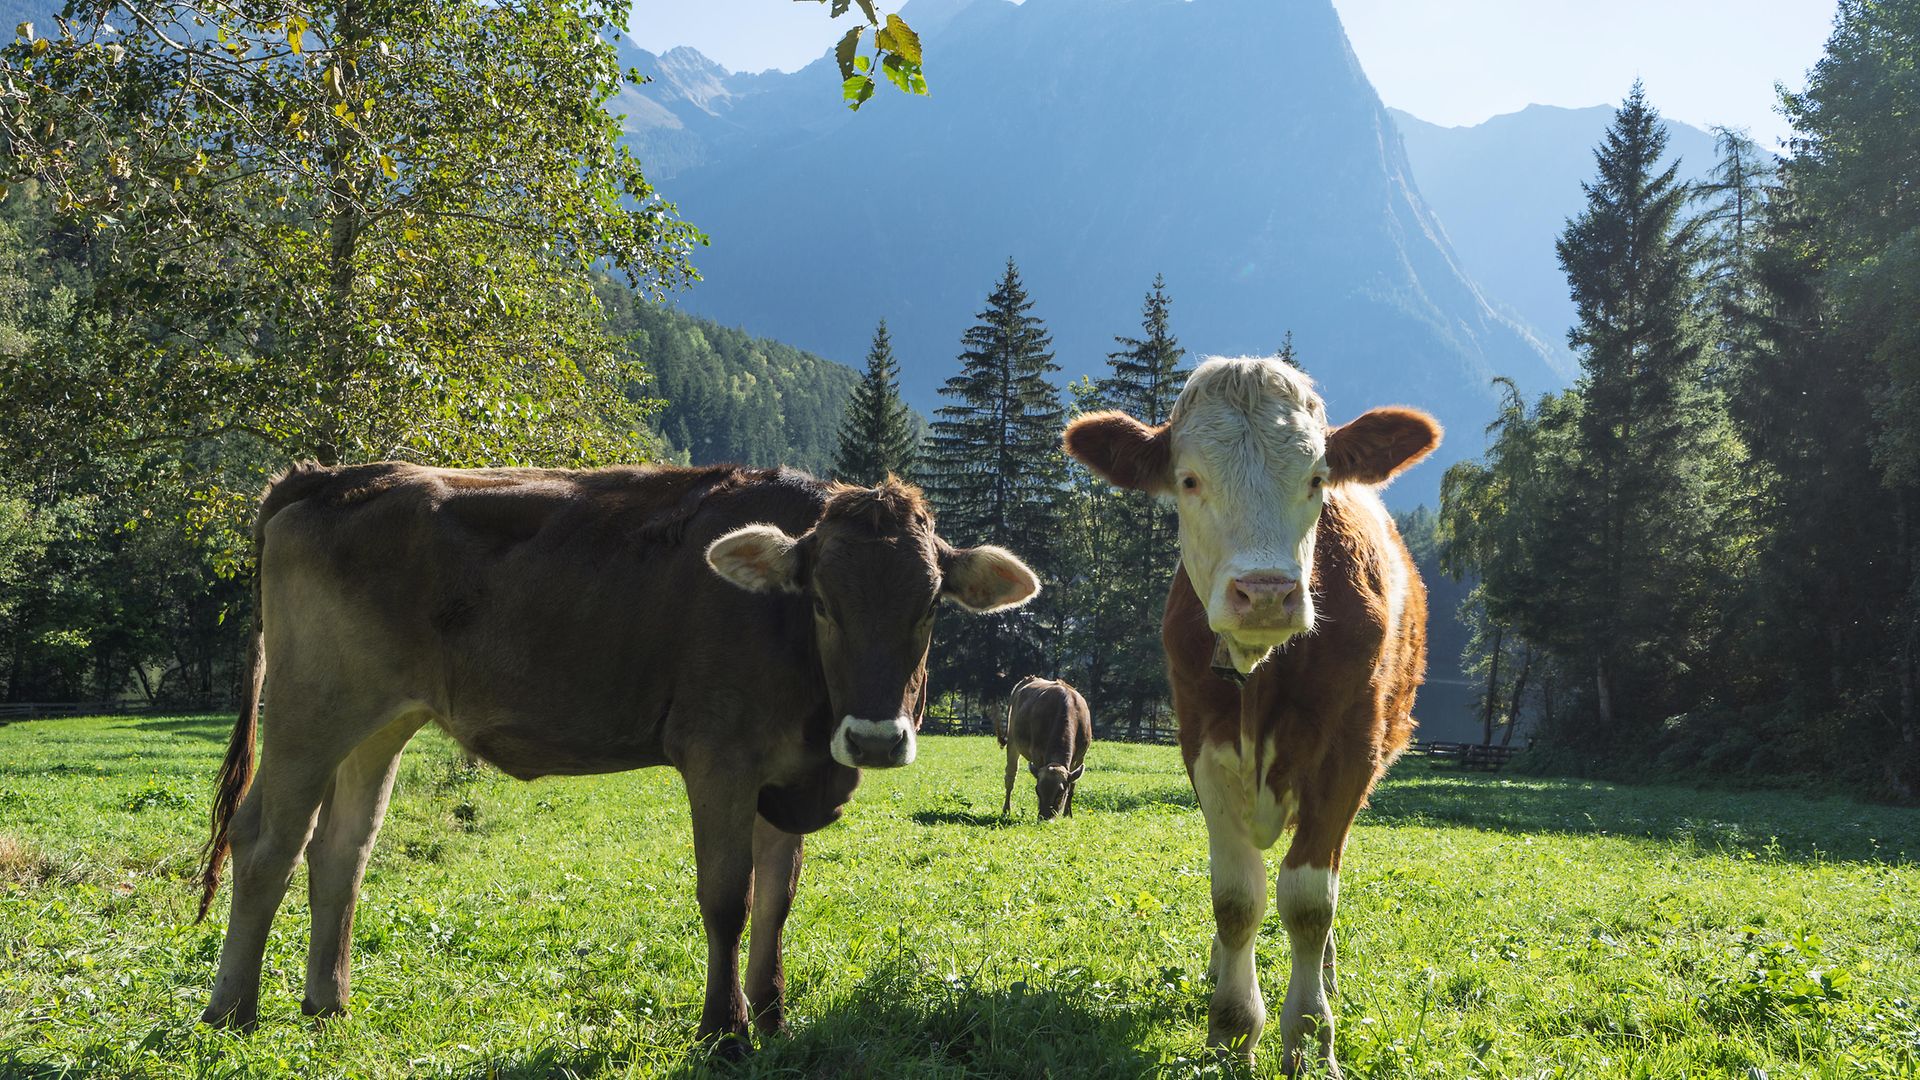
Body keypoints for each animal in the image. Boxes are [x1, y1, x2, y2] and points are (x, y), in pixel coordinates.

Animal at [193, 463, 1039, 1053]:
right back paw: (231, 1011)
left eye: (928, 607)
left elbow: (777, 900)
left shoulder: (789, 772)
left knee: (343, 849)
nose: (874, 738)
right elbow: (727, 900)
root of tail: (328, 476)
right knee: (267, 842)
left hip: (381, 720)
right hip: (313, 705)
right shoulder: (720, 758)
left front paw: (772, 1018)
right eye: (823, 602)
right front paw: (722, 1031)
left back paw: (327, 1005)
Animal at [999, 676, 1092, 820]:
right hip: (1013, 740)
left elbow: (1072, 785)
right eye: (1037, 790)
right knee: (1010, 776)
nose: (1045, 818)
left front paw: (1068, 814)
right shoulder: (1037, 754)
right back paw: (1006, 810)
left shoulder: (1081, 756)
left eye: (1060, 793)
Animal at [1063, 356, 1439, 1077]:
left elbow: (1309, 903)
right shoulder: (1202, 746)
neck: (1262, 669)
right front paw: (1232, 1028)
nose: (1265, 592)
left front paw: (1310, 1037)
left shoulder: (1348, 757)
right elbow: (1236, 899)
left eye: (1317, 478)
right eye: (1188, 479)